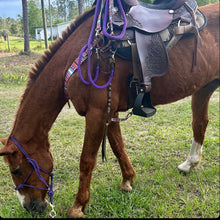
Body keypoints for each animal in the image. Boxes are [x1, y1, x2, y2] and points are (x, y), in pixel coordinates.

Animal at [0, 2, 220, 218]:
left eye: (16, 170)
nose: (30, 207)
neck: (82, 57)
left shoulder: (96, 113)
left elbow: (87, 160)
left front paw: (78, 206)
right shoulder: (109, 112)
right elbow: (118, 146)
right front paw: (128, 180)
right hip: (204, 87)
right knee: (200, 123)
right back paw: (189, 164)